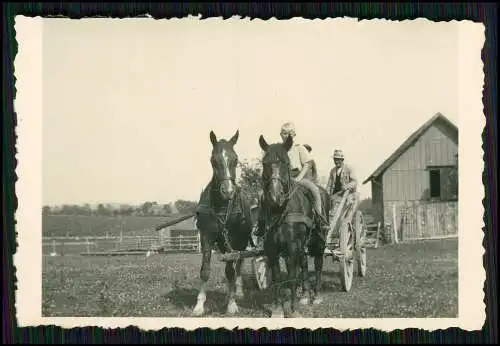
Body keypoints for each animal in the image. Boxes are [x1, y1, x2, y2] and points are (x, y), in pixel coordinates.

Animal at [190, 130, 256, 316]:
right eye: (213, 160)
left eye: (235, 159)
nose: (228, 191)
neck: (222, 205)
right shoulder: (206, 236)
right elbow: (205, 271)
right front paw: (199, 305)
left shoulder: (237, 240)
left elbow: (231, 271)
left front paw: (232, 304)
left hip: (240, 242)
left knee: (237, 267)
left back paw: (236, 292)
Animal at [258, 134, 332, 316]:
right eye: (264, 163)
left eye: (285, 162)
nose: (275, 197)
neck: (280, 210)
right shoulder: (271, 248)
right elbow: (277, 278)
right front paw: (278, 308)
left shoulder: (292, 246)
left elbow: (292, 276)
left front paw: (292, 310)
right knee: (304, 264)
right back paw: (304, 294)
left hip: (319, 241)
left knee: (318, 264)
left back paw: (315, 295)